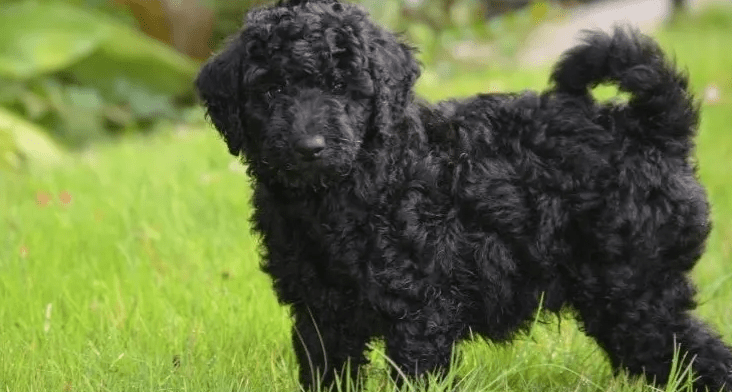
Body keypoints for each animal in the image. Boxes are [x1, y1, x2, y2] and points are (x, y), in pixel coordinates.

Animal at [194, 0, 732, 388]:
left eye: (342, 87)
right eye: (270, 92)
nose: (309, 147)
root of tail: (650, 128)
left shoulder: (420, 308)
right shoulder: (321, 311)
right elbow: (326, 370)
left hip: (634, 288)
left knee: (698, 353)